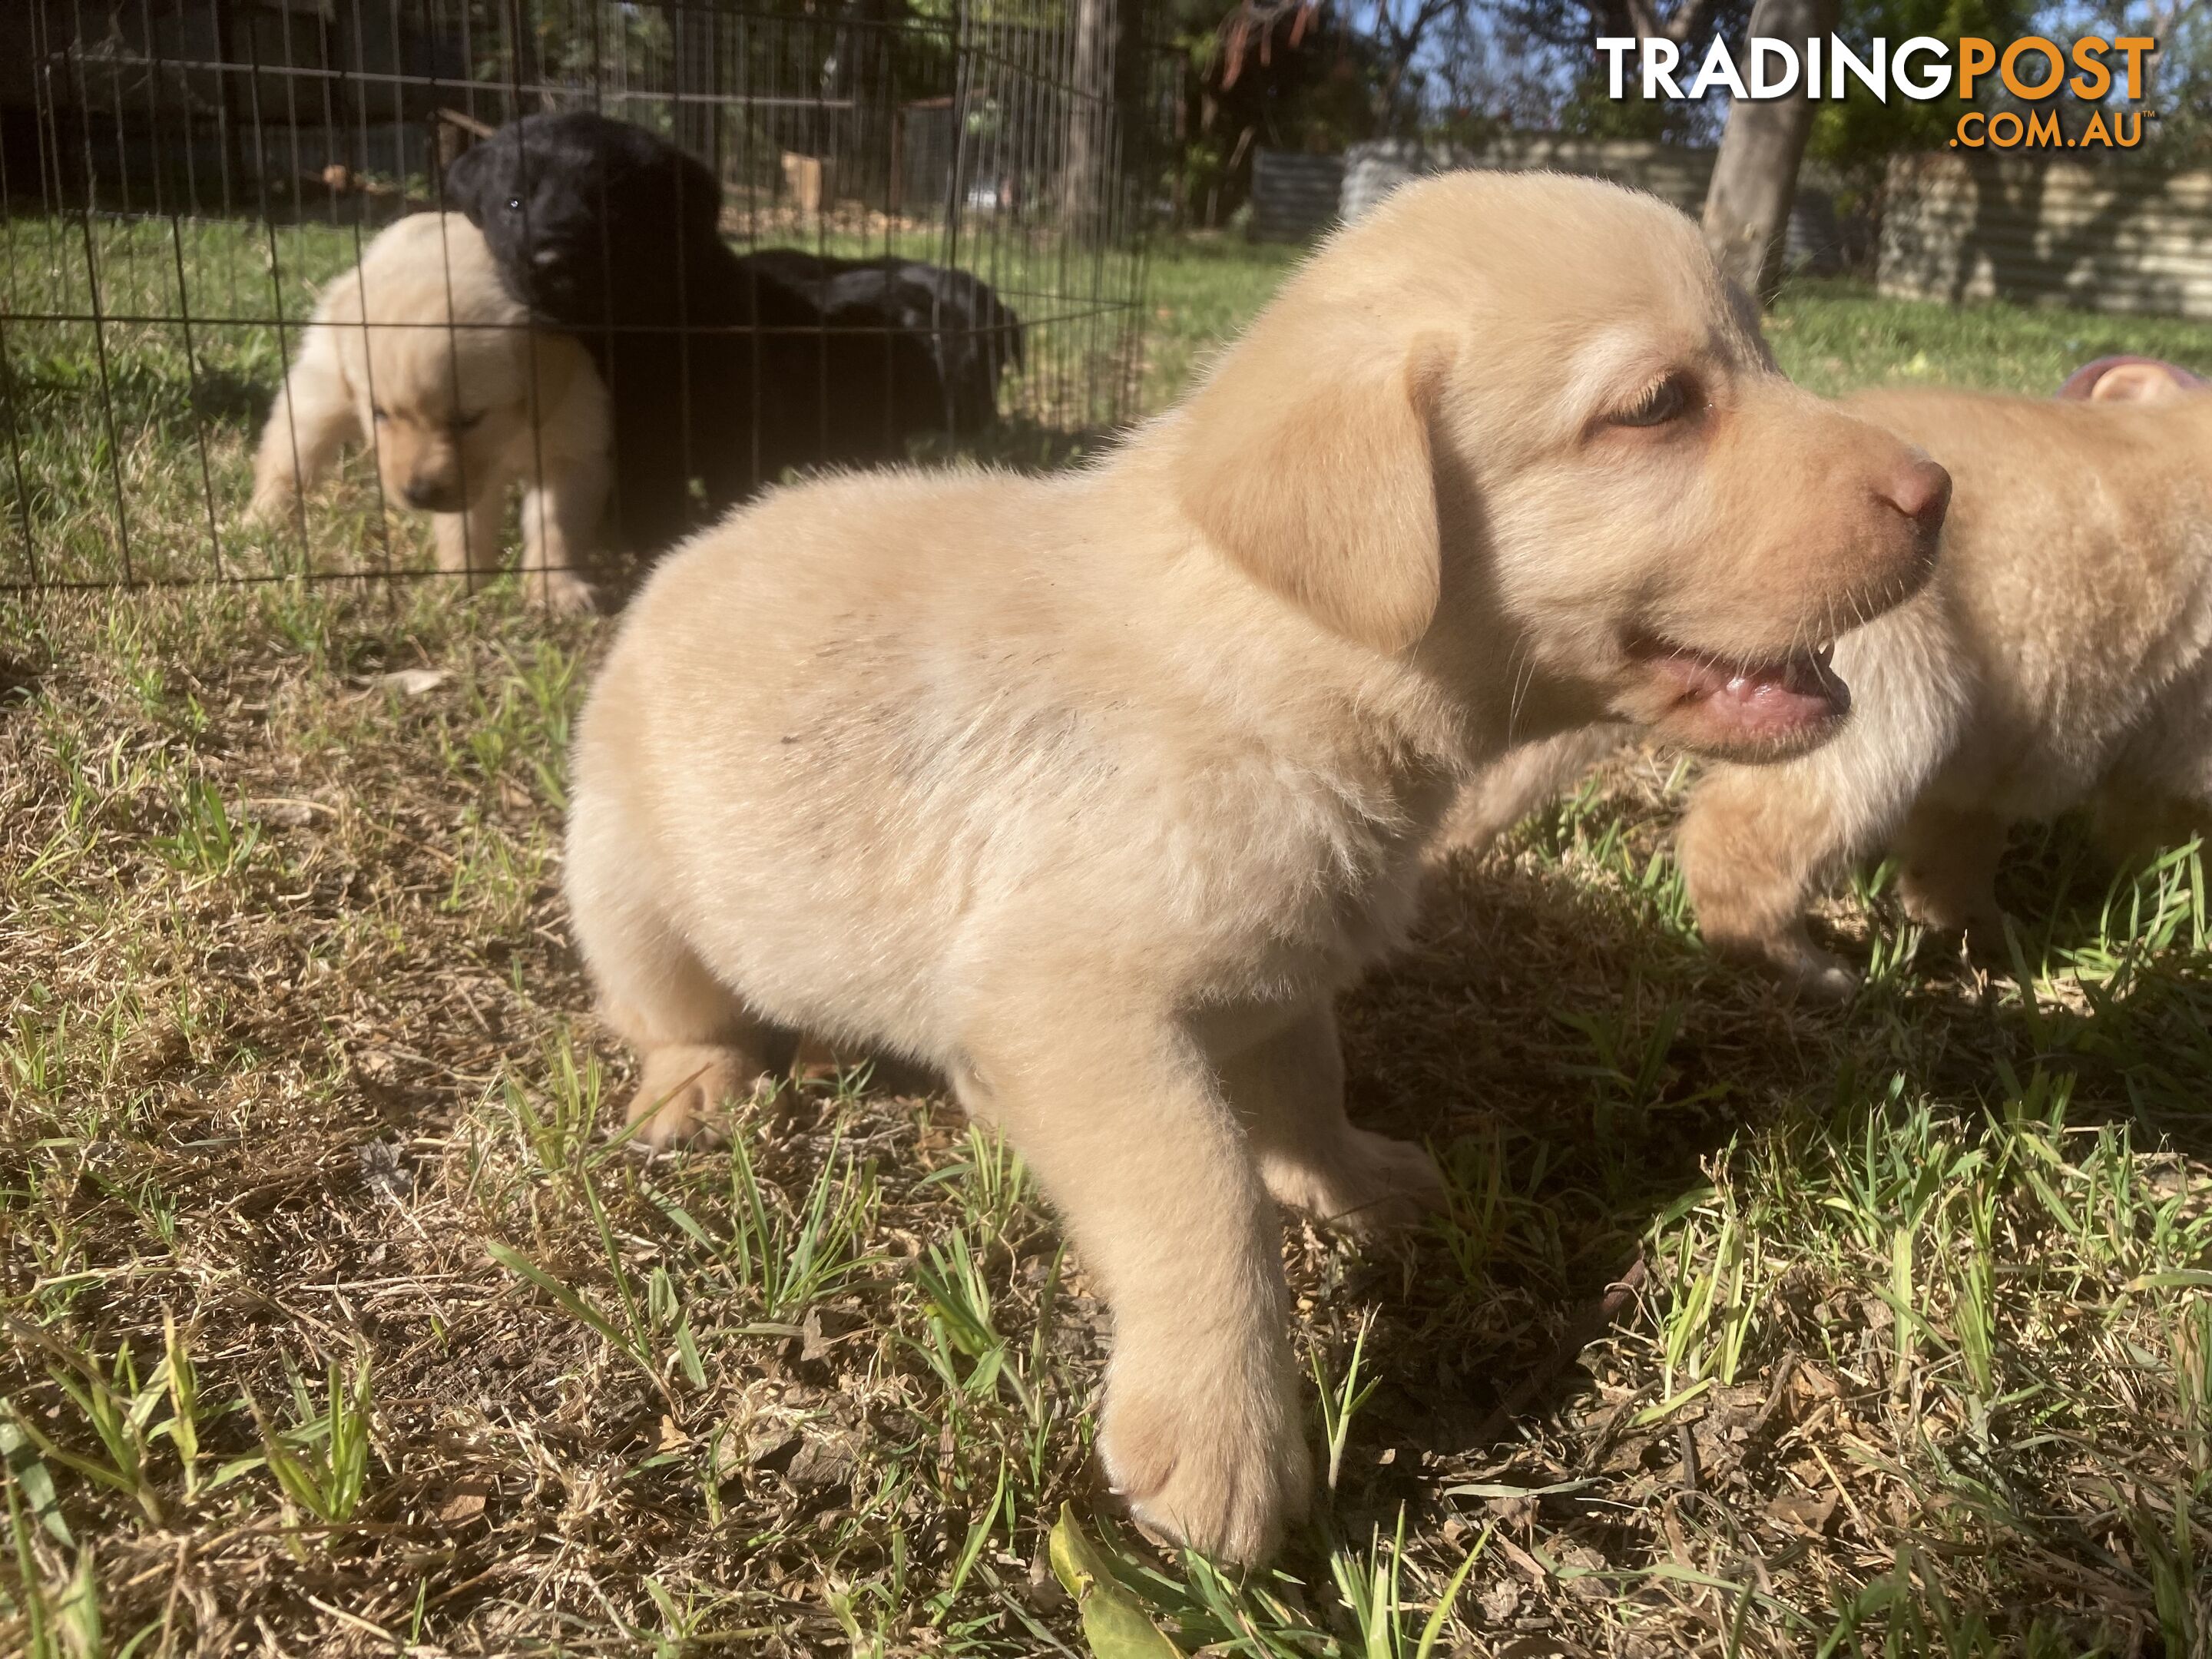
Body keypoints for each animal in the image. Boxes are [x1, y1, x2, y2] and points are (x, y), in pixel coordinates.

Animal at [249, 211, 606, 606]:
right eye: (380, 414)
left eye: (468, 419)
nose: (417, 495)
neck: (511, 435)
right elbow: (462, 526)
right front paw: (460, 582)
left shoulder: (569, 443)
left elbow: (558, 526)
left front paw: (559, 589)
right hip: (321, 393)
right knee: (288, 456)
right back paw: (260, 518)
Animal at [561, 175, 1946, 1566]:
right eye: (1659, 404)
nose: (1940, 489)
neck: (1269, 667)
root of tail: (680, 560)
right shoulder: (1075, 1006)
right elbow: (1203, 1192)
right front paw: (1222, 1433)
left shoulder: (1284, 968)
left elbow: (1302, 1087)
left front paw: (1352, 1180)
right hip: (623, 887)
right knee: (673, 1011)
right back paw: (695, 1088)